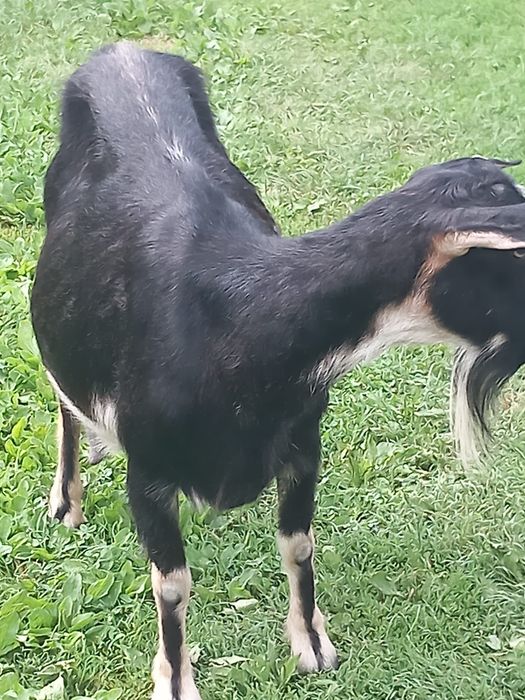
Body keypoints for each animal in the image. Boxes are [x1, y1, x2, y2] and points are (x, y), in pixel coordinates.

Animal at [31, 42, 525, 700]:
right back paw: (66, 501)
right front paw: (176, 681)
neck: (236, 316)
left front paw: (312, 646)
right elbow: (172, 585)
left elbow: (298, 544)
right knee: (61, 388)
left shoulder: (302, 444)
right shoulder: (150, 472)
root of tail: (122, 50)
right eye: (513, 262)